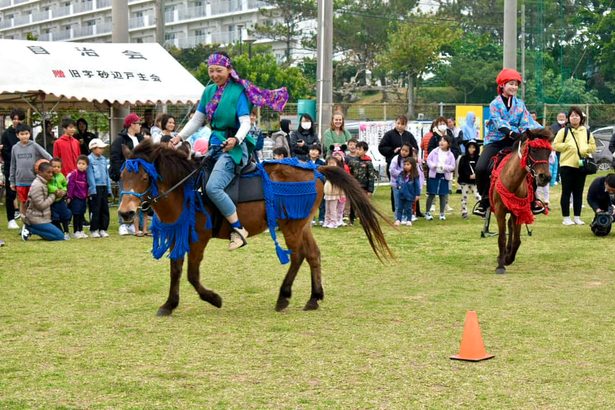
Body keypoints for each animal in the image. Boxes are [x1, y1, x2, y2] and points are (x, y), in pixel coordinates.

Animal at [118, 140, 392, 314]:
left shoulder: (198, 238)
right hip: (302, 225)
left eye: (144, 177)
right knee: (313, 255)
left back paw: (284, 296)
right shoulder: (179, 234)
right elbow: (175, 270)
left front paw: (213, 299)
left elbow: (192, 275)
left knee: (298, 255)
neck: (185, 189)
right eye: (121, 176)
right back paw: (314, 298)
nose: (125, 212)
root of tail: (316, 169)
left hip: (291, 226)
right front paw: (169, 304)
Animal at [490, 130, 552, 274]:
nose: (545, 177)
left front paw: (508, 259)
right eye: (533, 150)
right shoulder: (499, 211)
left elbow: (517, 240)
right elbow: (501, 238)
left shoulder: (518, 211)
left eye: (549, 152)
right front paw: (500, 265)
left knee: (511, 226)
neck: (511, 181)